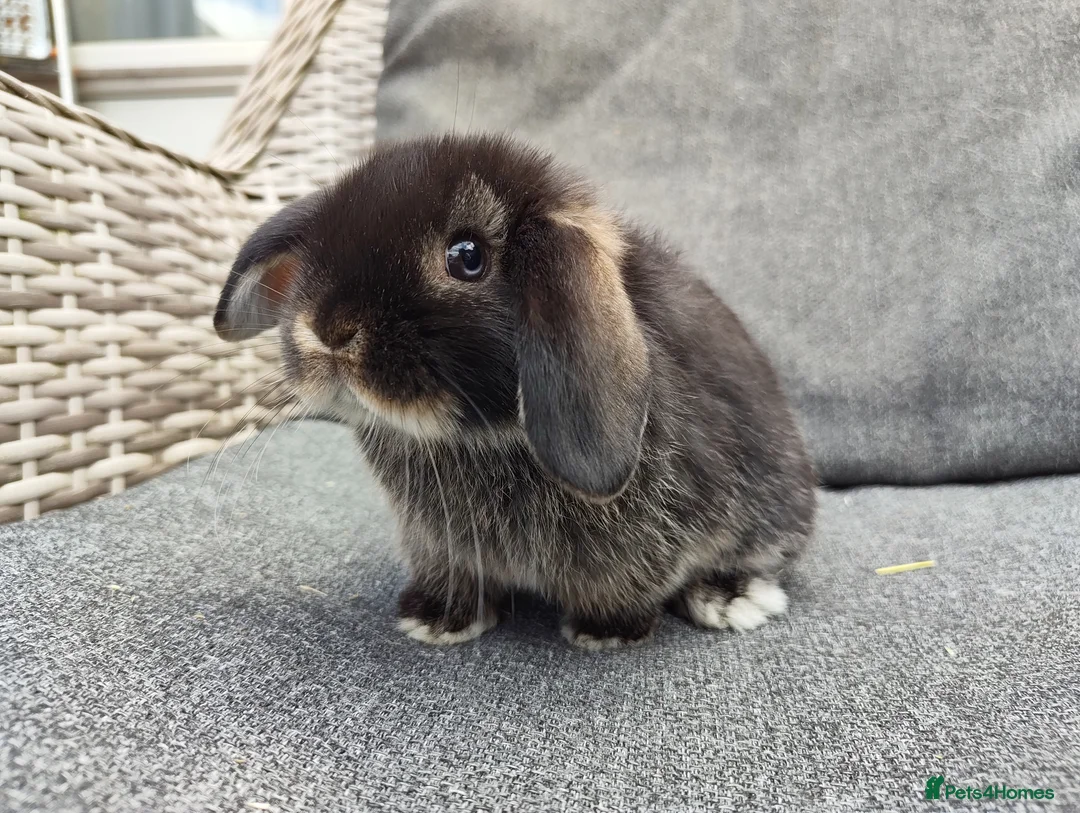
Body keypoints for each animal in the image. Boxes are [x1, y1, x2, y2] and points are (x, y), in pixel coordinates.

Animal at [214, 134, 816, 650]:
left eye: (466, 256)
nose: (329, 328)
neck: (477, 439)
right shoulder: (438, 546)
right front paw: (436, 620)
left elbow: (629, 587)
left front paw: (607, 633)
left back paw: (732, 599)